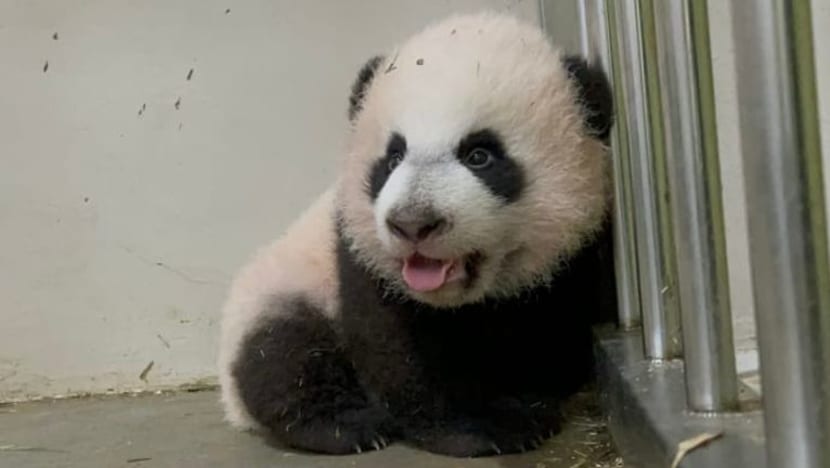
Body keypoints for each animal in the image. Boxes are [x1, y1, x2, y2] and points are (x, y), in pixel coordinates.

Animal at [218, 11, 615, 458]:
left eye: (480, 155)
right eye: (393, 157)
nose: (412, 223)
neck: (459, 302)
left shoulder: (573, 259)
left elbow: (551, 337)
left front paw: (523, 400)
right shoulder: (360, 256)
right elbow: (395, 347)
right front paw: (482, 426)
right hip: (282, 289)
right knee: (282, 355)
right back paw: (346, 424)